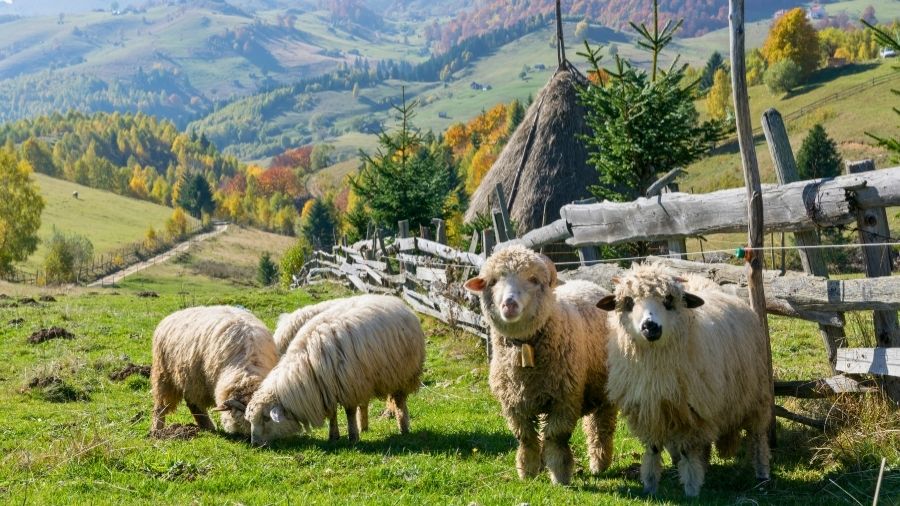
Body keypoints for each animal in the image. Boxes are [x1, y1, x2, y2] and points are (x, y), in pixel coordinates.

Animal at [150, 305, 278, 436]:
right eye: (235, 418)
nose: (245, 436)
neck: (247, 370)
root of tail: (171, 316)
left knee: (192, 403)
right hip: (165, 375)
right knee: (162, 406)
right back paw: (157, 430)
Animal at [245, 294, 425, 446]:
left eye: (266, 418)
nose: (254, 444)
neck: (306, 366)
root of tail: (396, 300)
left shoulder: (349, 386)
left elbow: (349, 412)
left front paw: (353, 437)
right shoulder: (327, 388)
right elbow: (332, 414)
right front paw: (334, 436)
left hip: (402, 374)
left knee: (399, 401)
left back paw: (403, 428)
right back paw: (364, 426)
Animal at [464, 245, 617, 485]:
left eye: (533, 279)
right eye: (493, 281)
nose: (509, 304)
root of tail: (589, 283)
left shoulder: (565, 400)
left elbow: (556, 436)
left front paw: (560, 474)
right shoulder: (513, 404)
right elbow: (526, 438)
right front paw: (527, 471)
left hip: (605, 390)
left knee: (601, 427)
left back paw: (599, 463)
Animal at [596, 262, 771, 497]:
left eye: (669, 300)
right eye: (629, 303)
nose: (650, 326)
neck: (655, 365)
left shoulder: (691, 414)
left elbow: (688, 451)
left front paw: (691, 489)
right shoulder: (650, 410)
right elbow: (652, 449)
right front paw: (650, 485)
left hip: (756, 395)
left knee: (757, 436)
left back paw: (762, 474)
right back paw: (704, 466)